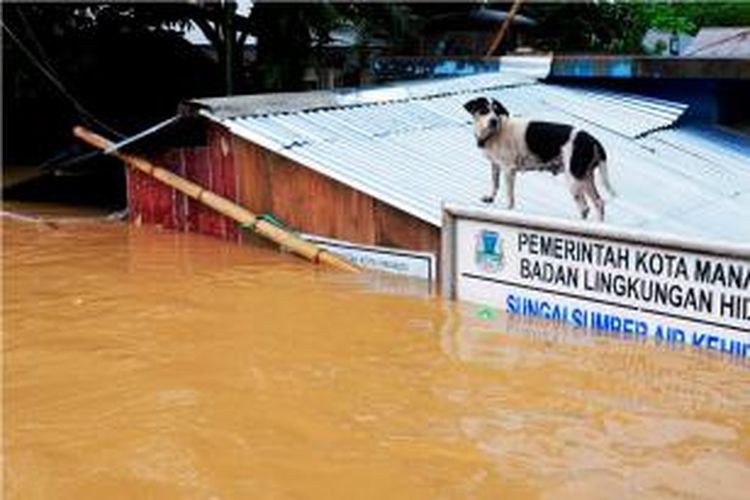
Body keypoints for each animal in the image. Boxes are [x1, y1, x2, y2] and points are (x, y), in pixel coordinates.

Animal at [464, 96, 616, 222]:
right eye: (484, 110)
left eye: (497, 112)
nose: (493, 121)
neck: (495, 133)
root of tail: (593, 140)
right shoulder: (495, 165)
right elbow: (495, 183)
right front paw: (490, 197)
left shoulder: (508, 169)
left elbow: (509, 195)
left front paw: (508, 210)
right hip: (586, 178)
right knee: (599, 203)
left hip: (574, 179)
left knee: (585, 207)